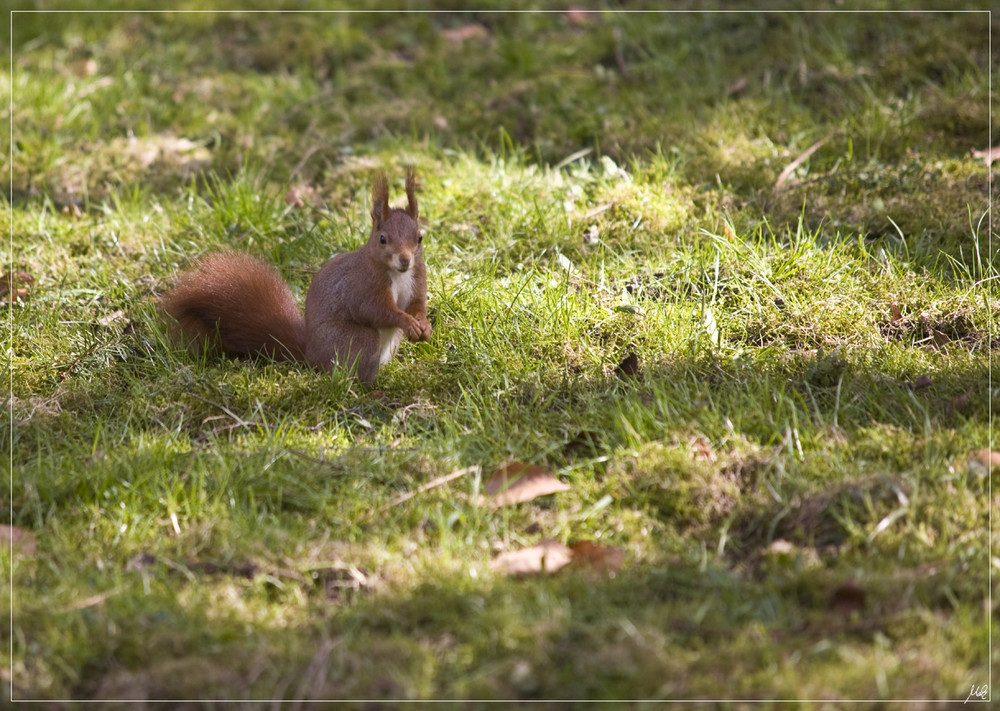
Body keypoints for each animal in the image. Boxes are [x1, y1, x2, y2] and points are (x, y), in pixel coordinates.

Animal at [160, 170, 430, 384]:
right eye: (382, 239)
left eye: (419, 238)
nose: (405, 260)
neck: (397, 273)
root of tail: (310, 355)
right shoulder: (363, 285)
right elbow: (374, 310)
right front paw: (406, 321)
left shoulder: (417, 278)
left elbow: (417, 304)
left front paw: (423, 325)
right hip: (353, 341)